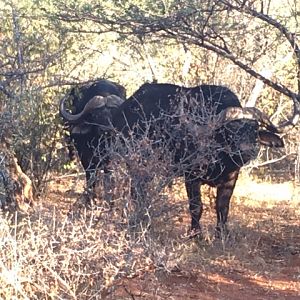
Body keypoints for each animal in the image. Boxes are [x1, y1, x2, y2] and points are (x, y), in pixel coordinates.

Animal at [60, 82, 284, 237]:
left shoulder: (231, 178)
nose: (248, 151)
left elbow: (223, 207)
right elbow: (196, 206)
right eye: (230, 130)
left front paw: (222, 235)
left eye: (253, 129)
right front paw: (196, 234)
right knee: (137, 190)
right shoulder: (191, 176)